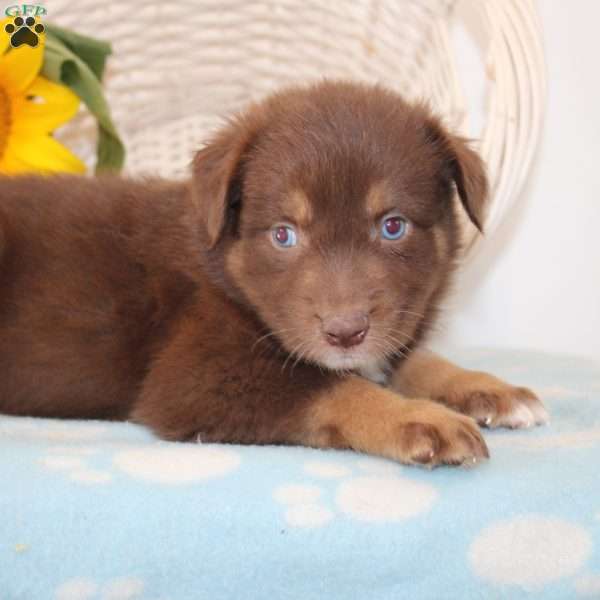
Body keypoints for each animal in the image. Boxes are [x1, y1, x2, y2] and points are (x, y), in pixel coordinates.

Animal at [0, 79, 548, 466]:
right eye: (284, 234)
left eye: (393, 226)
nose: (345, 333)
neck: (223, 270)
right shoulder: (196, 375)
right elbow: (333, 387)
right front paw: (419, 418)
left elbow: (410, 359)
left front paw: (489, 389)